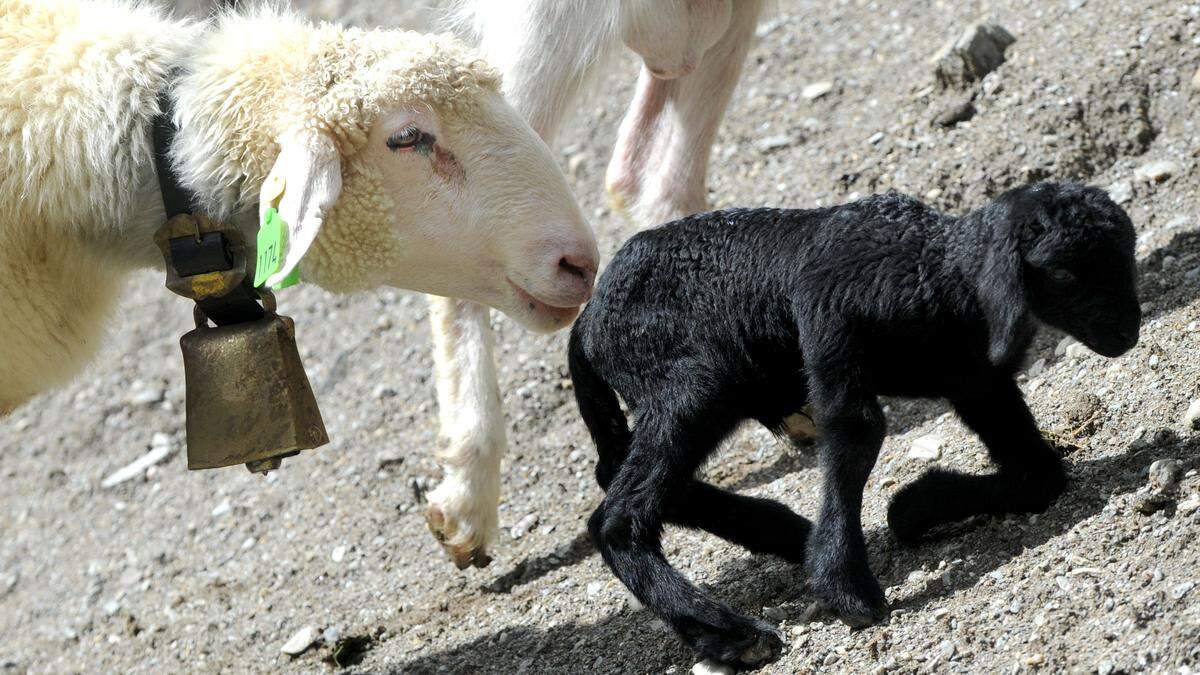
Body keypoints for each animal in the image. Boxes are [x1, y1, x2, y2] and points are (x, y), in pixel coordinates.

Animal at [566, 181, 1137, 662]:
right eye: (1062, 272)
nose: (1127, 333)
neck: (930, 269)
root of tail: (587, 320)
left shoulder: (977, 382)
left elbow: (1039, 475)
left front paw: (919, 506)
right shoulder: (832, 329)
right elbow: (857, 429)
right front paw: (849, 593)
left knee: (619, 475)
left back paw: (785, 534)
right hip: (691, 381)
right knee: (616, 518)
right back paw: (734, 635)